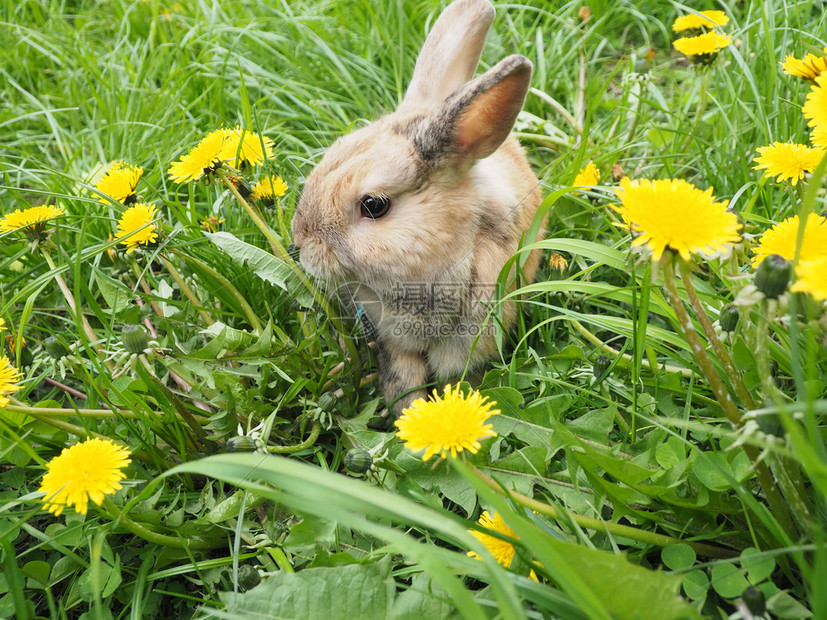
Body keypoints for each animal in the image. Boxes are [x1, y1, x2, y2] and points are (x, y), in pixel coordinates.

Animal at [294, 0, 548, 416]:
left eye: (374, 205)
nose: (300, 244)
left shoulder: (469, 346)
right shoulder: (394, 344)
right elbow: (404, 382)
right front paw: (407, 418)